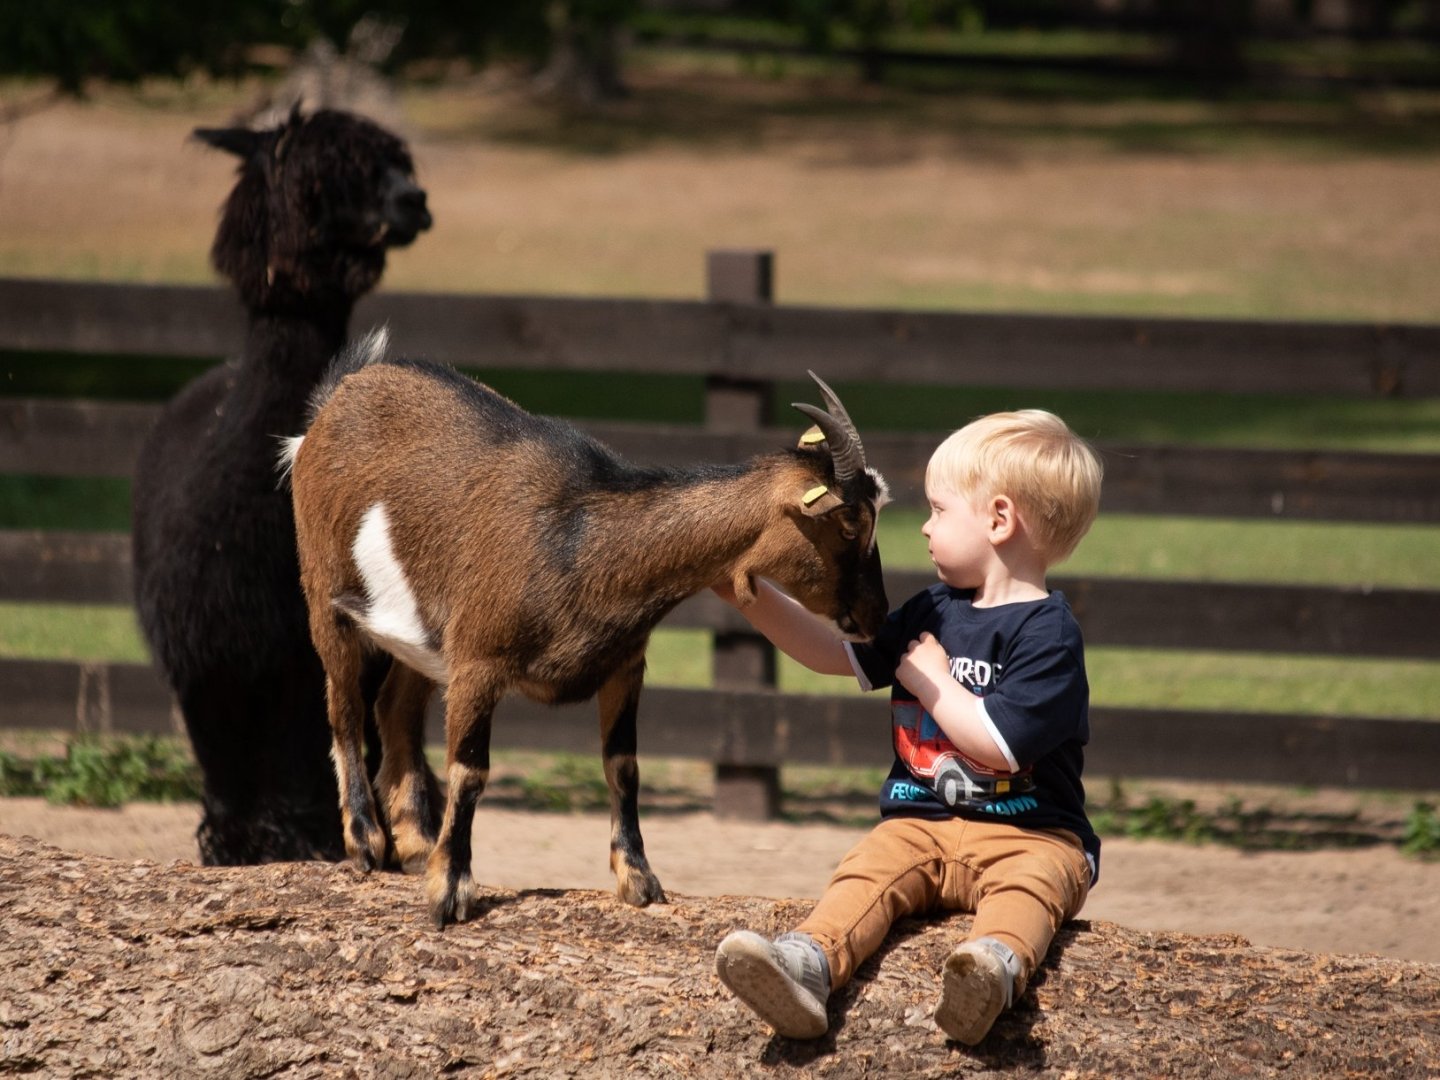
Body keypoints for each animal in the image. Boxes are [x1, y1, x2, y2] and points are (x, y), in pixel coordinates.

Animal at [283, 332, 887, 933]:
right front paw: (450, 890)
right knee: (345, 710)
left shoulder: (624, 665)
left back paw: (414, 844)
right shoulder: (479, 660)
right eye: (849, 525)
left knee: (395, 711)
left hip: (424, 639)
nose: (877, 615)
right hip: (324, 591)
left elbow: (624, 766)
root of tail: (341, 393)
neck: (579, 542)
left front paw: (638, 878)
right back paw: (365, 842)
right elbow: (470, 771)